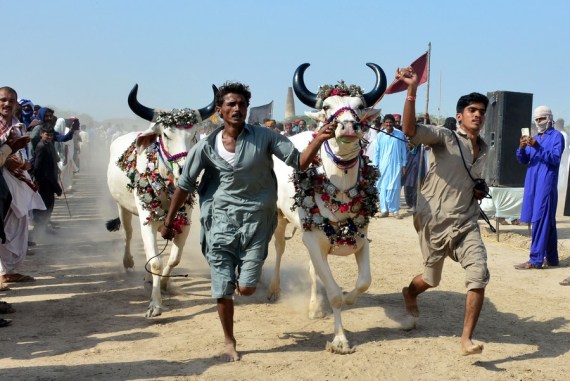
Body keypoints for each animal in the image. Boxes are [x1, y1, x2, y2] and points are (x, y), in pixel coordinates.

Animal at [105, 84, 214, 316]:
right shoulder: (146, 218)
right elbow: (155, 262)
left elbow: (174, 259)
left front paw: (163, 284)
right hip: (123, 207)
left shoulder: (185, 221)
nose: (185, 170)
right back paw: (128, 262)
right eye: (165, 134)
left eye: (194, 135)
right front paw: (155, 304)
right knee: (128, 234)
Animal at [268, 63, 386, 354]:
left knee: (313, 270)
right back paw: (274, 289)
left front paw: (348, 297)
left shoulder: (361, 238)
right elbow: (333, 294)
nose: (348, 126)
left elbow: (363, 282)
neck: (341, 189)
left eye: (359, 106)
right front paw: (340, 340)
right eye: (327, 106)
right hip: (280, 219)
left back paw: (314, 306)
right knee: (279, 249)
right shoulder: (312, 239)